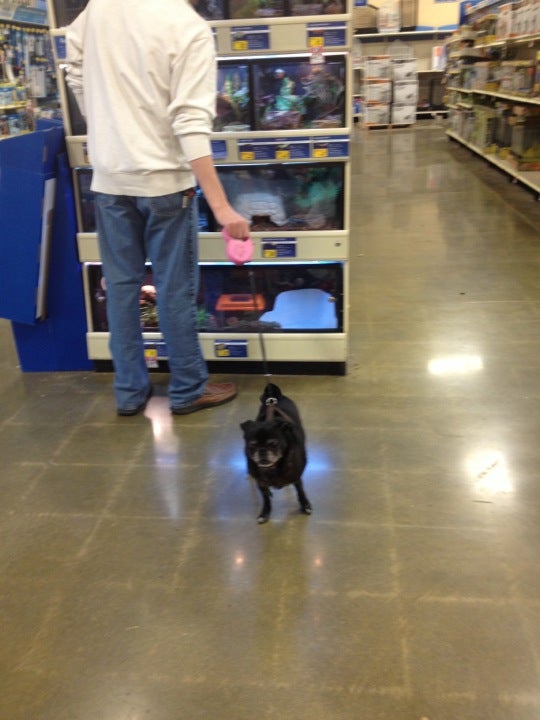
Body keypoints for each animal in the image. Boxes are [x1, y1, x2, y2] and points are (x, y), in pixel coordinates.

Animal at [240, 383, 312, 524]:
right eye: (252, 445)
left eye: (273, 444)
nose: (262, 450)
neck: (272, 469)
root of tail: (274, 397)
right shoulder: (261, 483)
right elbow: (266, 499)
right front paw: (265, 512)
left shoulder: (296, 477)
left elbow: (301, 491)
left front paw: (305, 505)